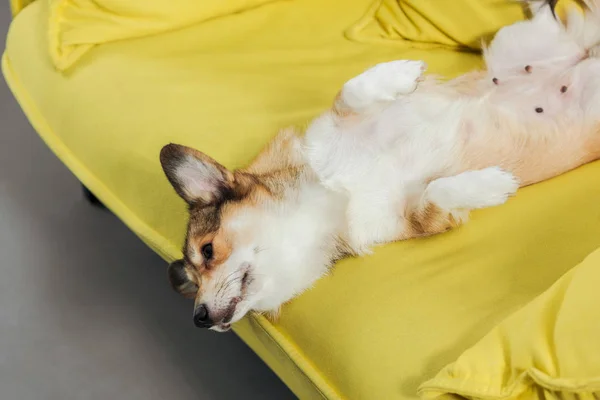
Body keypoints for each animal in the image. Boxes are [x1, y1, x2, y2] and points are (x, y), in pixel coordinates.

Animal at [161, 0, 600, 332]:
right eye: (193, 283)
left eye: (208, 251)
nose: (200, 319)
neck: (334, 193)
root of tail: (583, 58)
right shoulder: (422, 218)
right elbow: (438, 190)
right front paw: (492, 186)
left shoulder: (333, 127)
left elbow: (349, 91)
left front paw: (399, 73)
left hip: (514, 43)